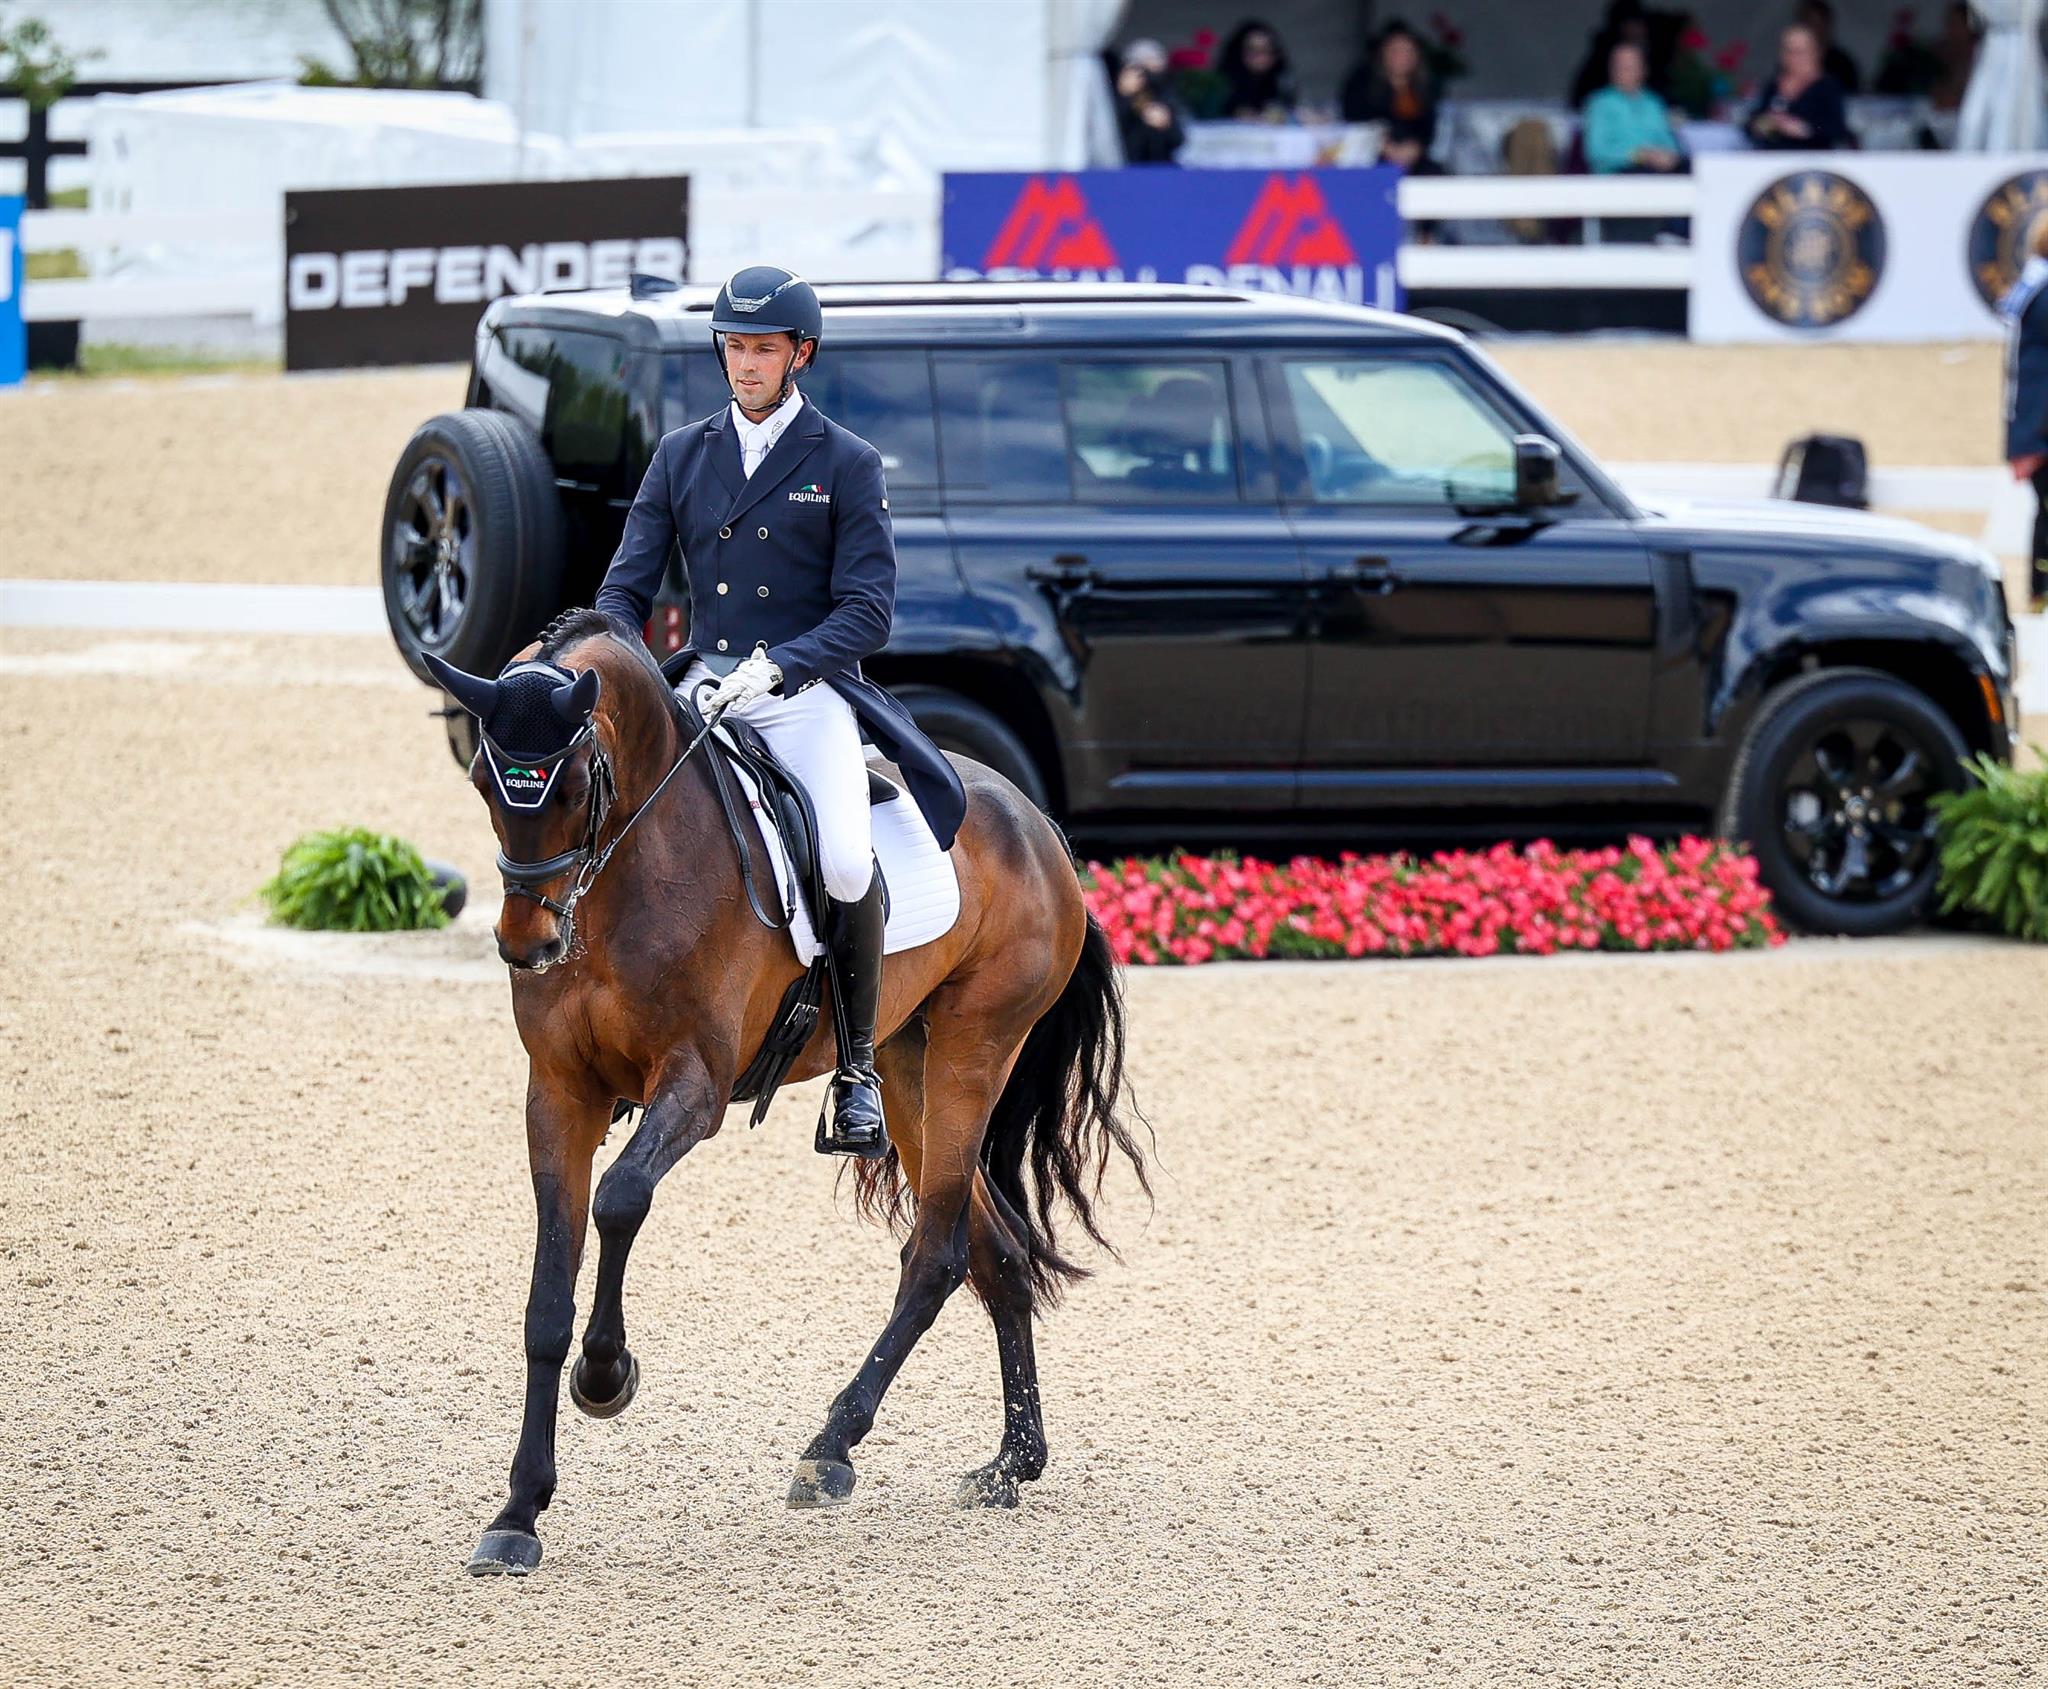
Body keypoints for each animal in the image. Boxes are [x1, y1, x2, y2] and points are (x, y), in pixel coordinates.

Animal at [436, 614, 1155, 1572]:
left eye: (578, 783)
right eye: (485, 780)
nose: (528, 944)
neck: (631, 873)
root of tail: (1041, 826)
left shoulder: (695, 1085)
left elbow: (621, 1200)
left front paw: (607, 1373)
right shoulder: (558, 1095)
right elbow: (547, 1296)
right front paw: (519, 1511)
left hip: (974, 1052)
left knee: (938, 1254)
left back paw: (832, 1447)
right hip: (906, 1065)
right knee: (994, 1251)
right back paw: (1011, 1461)